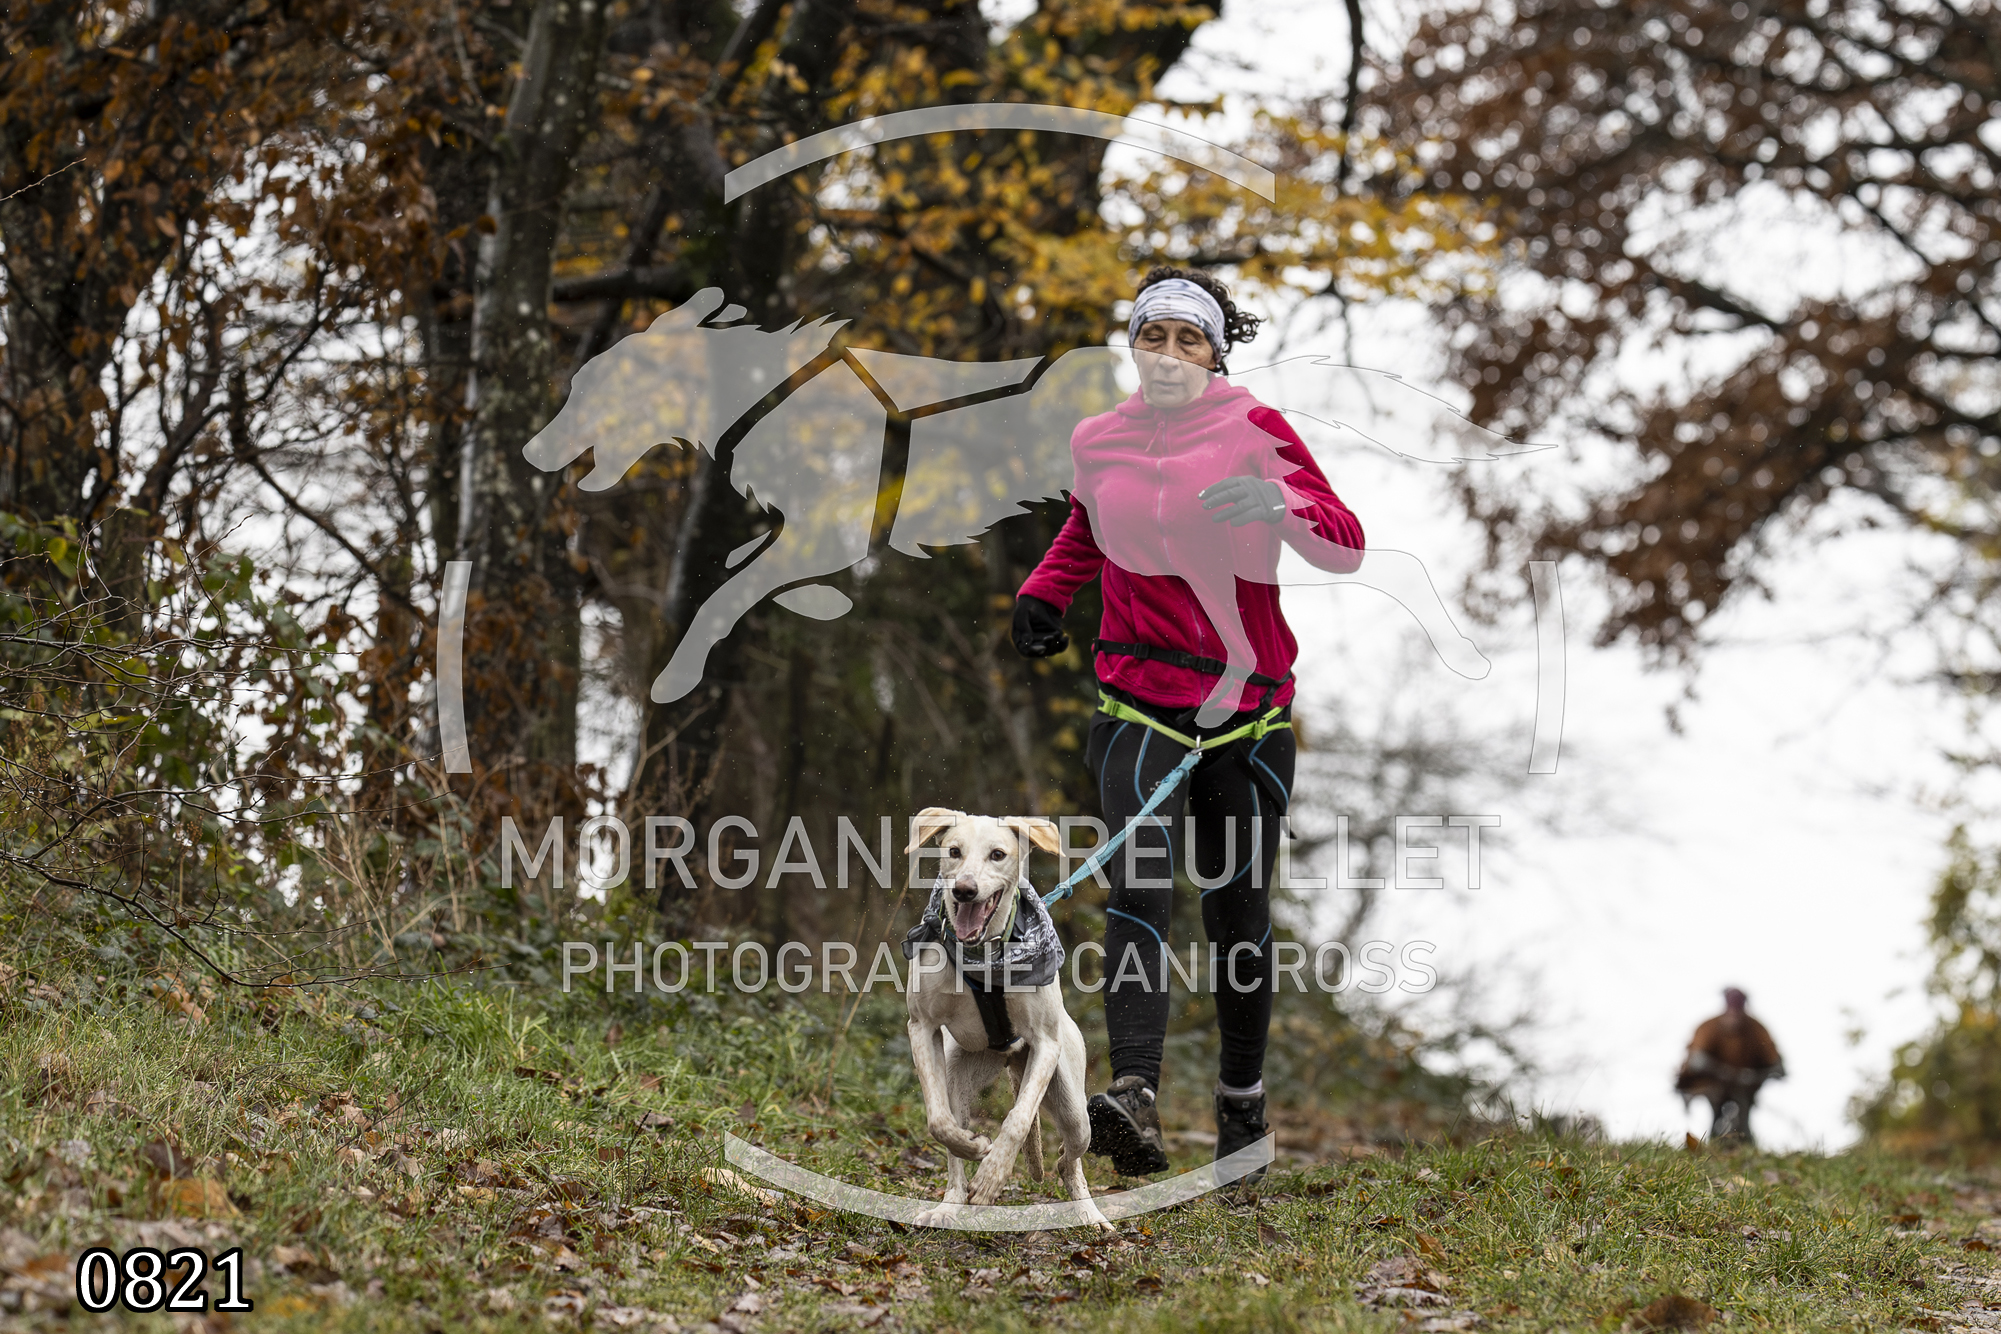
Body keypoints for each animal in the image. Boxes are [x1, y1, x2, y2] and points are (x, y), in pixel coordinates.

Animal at [902, 808, 1112, 1230]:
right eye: (954, 851)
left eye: (997, 854)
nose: (964, 890)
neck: (983, 957)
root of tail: (1011, 1058)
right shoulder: (922, 1028)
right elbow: (938, 1121)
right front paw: (975, 1149)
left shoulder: (1045, 1043)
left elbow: (1017, 1119)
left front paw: (993, 1174)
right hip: (961, 1073)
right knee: (954, 1130)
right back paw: (949, 1205)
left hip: (1073, 1105)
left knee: (1071, 1154)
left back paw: (1088, 1211)